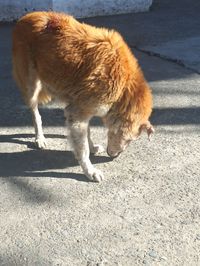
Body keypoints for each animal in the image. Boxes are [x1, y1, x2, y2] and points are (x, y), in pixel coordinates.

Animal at [12, 11, 153, 183]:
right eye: (130, 140)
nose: (115, 157)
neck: (124, 89)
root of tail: (25, 17)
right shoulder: (79, 113)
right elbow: (83, 148)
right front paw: (90, 171)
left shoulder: (83, 109)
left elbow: (87, 134)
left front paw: (92, 147)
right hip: (32, 87)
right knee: (35, 113)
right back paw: (40, 138)